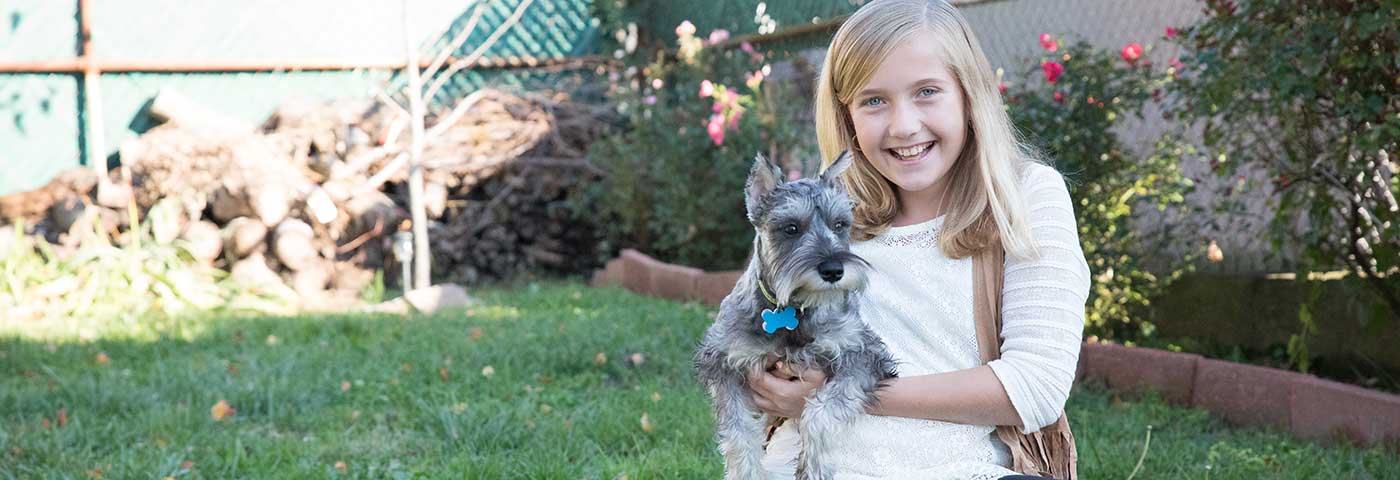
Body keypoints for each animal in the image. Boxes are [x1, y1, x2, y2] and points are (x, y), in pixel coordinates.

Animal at [697, 153, 896, 480]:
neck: (794, 309)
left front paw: (814, 467)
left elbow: (820, 412)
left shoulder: (862, 355)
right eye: (791, 228)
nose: (833, 270)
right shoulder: (724, 365)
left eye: (840, 224)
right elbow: (740, 435)